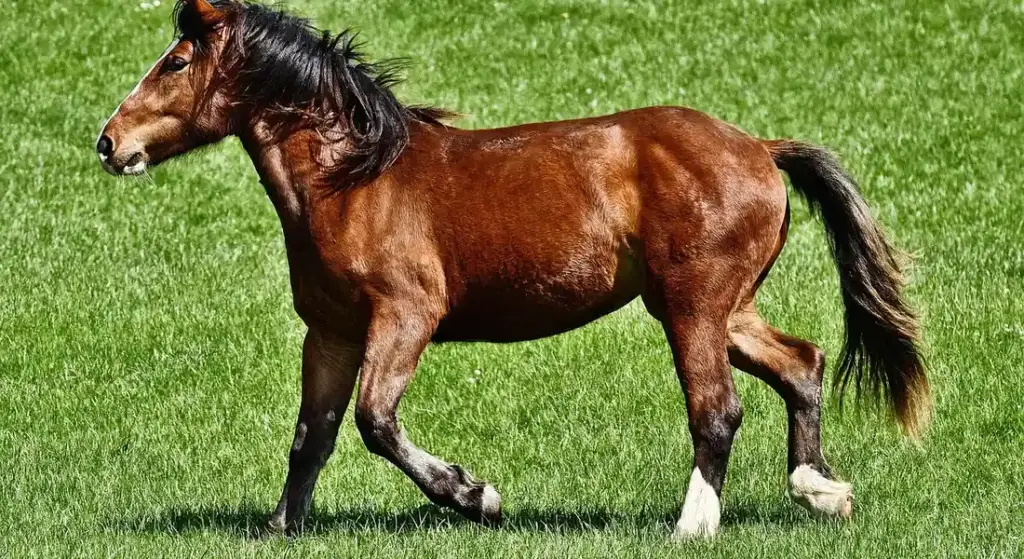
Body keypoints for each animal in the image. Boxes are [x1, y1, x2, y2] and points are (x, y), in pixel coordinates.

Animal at [95, 0, 930, 539]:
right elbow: (314, 434)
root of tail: (759, 147)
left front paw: (477, 495)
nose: (108, 141)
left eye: (175, 62)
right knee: (803, 363)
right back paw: (820, 490)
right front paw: (279, 526)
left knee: (718, 409)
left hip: (692, 306)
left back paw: (692, 526)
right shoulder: (330, 332)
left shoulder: (405, 316)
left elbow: (374, 420)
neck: (353, 179)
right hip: (724, 308)